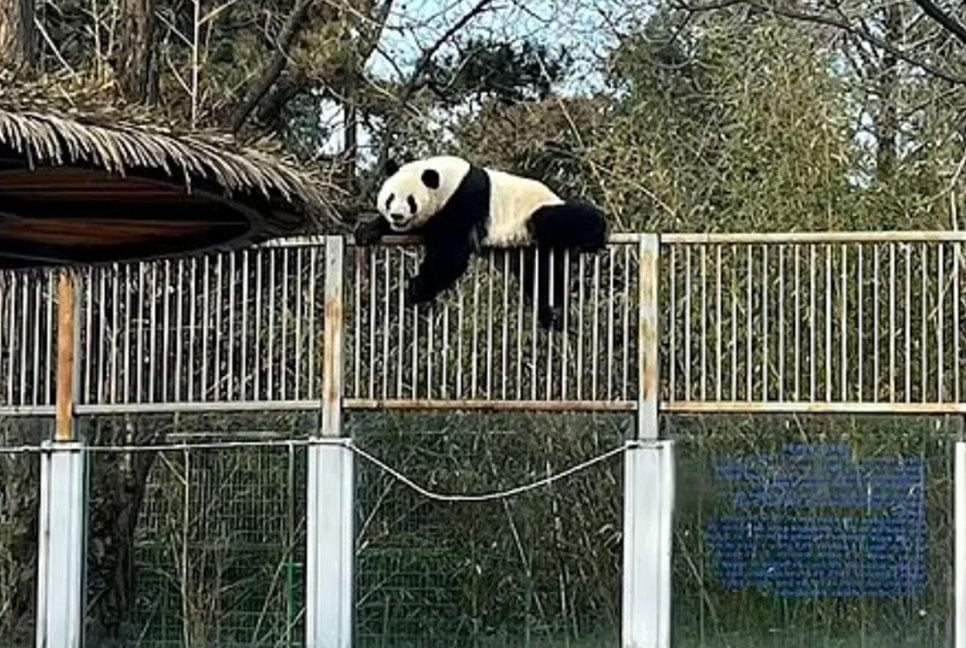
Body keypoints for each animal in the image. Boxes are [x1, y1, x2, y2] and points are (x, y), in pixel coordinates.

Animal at [356, 155, 608, 332]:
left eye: (411, 201)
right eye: (390, 198)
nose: (397, 216)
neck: (448, 180)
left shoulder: (464, 201)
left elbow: (450, 255)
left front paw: (415, 289)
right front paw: (367, 231)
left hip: (534, 213)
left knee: (561, 220)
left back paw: (596, 233)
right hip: (532, 253)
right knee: (542, 277)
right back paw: (554, 316)